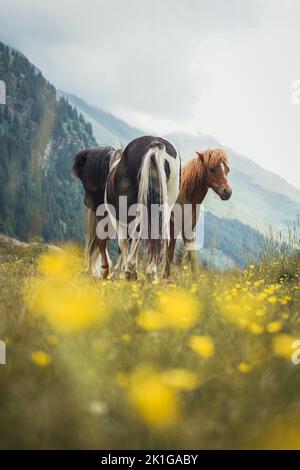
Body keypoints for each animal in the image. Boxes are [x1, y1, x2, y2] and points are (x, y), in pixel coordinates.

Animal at [162, 148, 232, 280]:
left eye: (227, 169)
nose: (227, 192)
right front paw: (166, 279)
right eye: (212, 169)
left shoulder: (189, 231)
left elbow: (192, 257)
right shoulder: (173, 227)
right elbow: (169, 253)